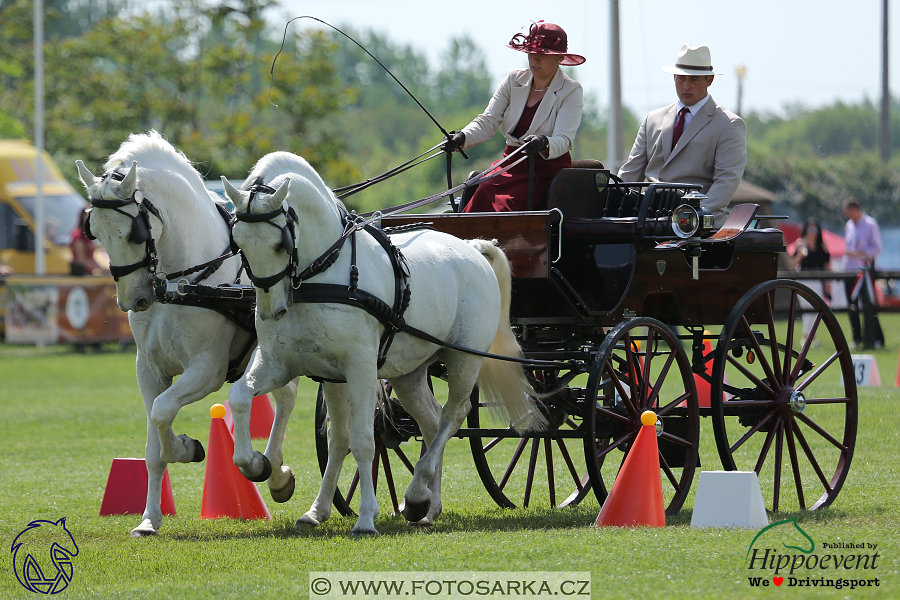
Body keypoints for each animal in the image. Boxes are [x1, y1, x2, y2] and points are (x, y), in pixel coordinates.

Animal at [74, 134, 298, 536]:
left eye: (135, 232)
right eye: (94, 232)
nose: (134, 300)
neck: (183, 283)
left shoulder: (207, 370)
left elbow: (163, 412)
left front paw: (186, 447)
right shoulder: (149, 371)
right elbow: (154, 443)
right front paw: (149, 519)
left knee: (290, 399)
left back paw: (269, 468)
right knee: (283, 395)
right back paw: (275, 472)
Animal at [225, 151, 544, 536]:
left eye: (279, 244)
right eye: (238, 243)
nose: (272, 311)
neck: (322, 275)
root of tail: (471, 247)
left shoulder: (360, 368)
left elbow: (363, 440)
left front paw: (365, 518)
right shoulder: (296, 367)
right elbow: (254, 403)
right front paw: (271, 475)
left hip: (463, 360)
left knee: (454, 415)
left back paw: (417, 493)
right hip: (409, 371)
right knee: (432, 422)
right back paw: (429, 506)